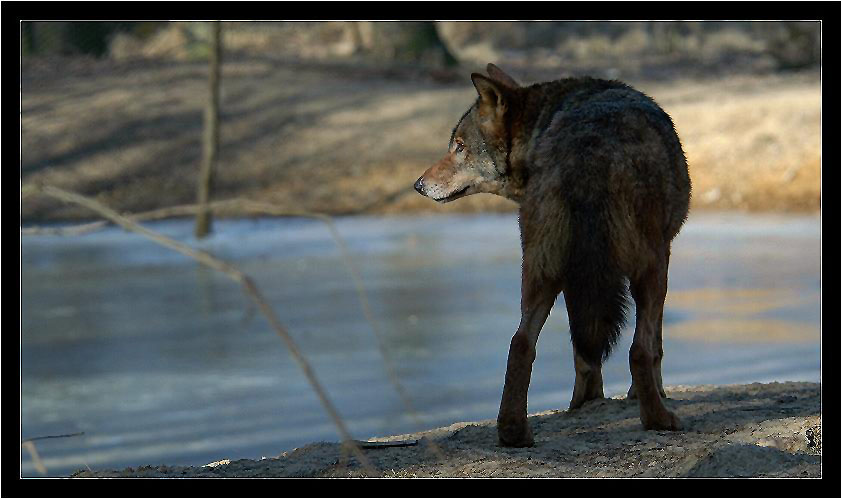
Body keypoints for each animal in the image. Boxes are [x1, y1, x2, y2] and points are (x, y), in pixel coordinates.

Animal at [412, 63, 688, 450]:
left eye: (459, 147)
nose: (418, 185)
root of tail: (586, 147)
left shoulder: (577, 279)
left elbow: (584, 353)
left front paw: (586, 402)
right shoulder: (665, 252)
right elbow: (656, 347)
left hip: (540, 273)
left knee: (520, 344)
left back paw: (515, 432)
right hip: (649, 272)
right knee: (638, 350)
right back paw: (659, 419)